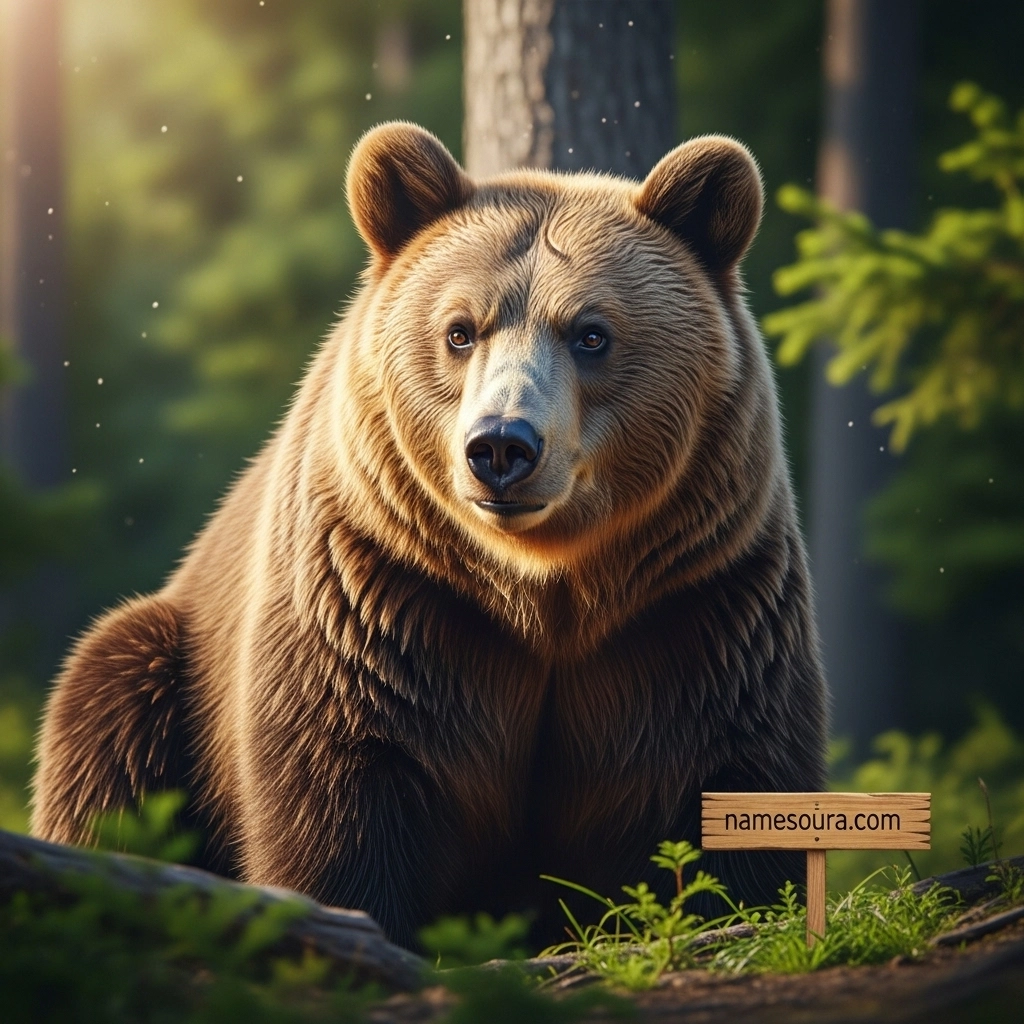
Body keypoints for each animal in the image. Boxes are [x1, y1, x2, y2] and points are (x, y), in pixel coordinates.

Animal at [31, 122, 827, 949]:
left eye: (591, 333)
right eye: (459, 330)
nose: (503, 445)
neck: (546, 591)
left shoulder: (694, 613)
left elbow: (725, 782)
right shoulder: (381, 602)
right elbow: (341, 795)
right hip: (164, 673)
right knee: (111, 726)